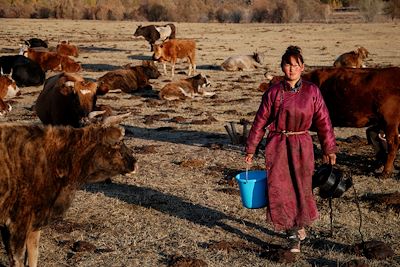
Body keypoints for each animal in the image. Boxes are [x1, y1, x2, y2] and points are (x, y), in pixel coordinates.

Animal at [0, 122, 138, 267]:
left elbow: (32, 253)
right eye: (117, 142)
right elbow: (19, 257)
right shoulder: (18, 223)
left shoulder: (32, 222)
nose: (135, 163)